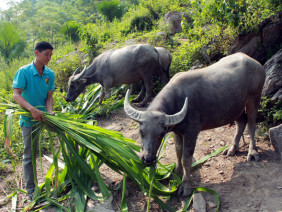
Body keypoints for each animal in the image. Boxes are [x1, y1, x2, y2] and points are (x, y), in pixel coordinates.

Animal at [123, 52, 264, 195]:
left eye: (161, 134)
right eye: (141, 132)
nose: (148, 159)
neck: (178, 100)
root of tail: (255, 63)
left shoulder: (192, 132)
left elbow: (186, 158)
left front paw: (185, 185)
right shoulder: (177, 132)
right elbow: (178, 152)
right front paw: (177, 173)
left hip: (254, 98)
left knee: (251, 125)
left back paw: (252, 152)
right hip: (235, 107)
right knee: (241, 122)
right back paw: (232, 149)